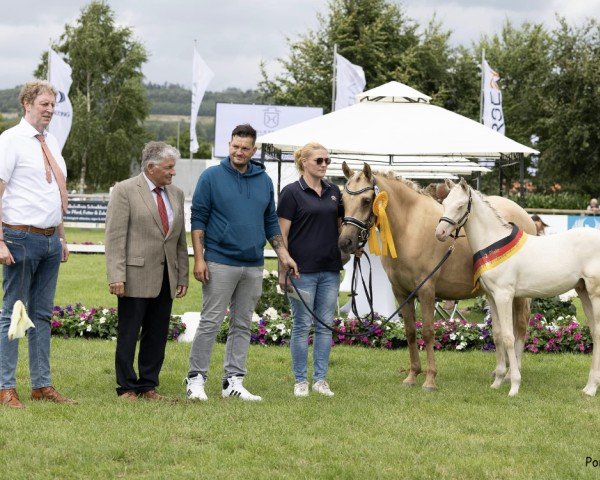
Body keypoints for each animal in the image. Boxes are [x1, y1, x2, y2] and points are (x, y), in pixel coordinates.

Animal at [340, 163, 536, 392]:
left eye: (366, 200)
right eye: (343, 200)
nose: (345, 242)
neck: (409, 227)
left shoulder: (426, 290)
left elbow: (427, 332)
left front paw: (430, 380)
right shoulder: (401, 292)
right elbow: (410, 331)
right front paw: (412, 375)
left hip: (518, 293)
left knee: (520, 326)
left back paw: (512, 374)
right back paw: (500, 372)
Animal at [436, 178, 600, 396]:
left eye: (460, 205)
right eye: (444, 203)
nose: (440, 233)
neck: (493, 242)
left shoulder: (504, 295)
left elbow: (508, 337)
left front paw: (513, 385)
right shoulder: (492, 297)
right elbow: (497, 335)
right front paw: (497, 381)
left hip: (595, 293)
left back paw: (592, 388)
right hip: (583, 292)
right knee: (595, 332)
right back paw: (589, 387)